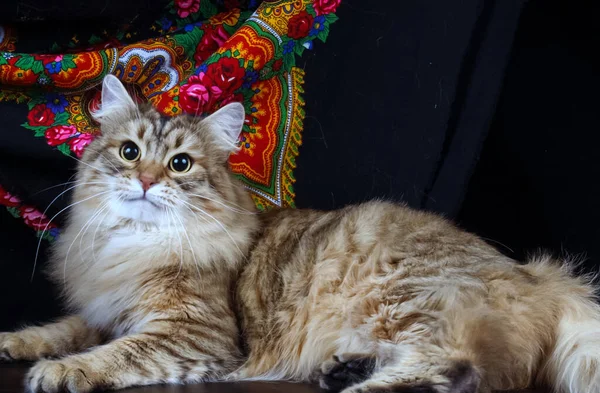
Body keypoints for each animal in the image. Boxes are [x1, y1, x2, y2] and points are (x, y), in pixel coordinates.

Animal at [1, 73, 600, 392]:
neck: (130, 245)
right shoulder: (102, 309)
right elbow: (60, 328)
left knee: (460, 368)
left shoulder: (195, 333)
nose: (146, 181)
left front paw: (61, 371)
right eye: (129, 153)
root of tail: (537, 275)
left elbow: (116, 353)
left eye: (179, 164)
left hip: (403, 296)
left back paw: (360, 385)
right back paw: (346, 368)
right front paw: (16, 342)